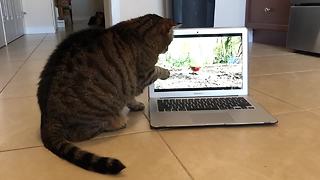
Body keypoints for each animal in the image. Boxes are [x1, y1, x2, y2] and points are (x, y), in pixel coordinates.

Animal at [37, 14, 178, 174]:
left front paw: (135, 104)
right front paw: (166, 72)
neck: (140, 31)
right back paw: (118, 122)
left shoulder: (129, 83)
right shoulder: (144, 75)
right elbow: (157, 70)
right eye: (170, 41)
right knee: (83, 133)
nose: (167, 49)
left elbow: (130, 97)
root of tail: (47, 119)